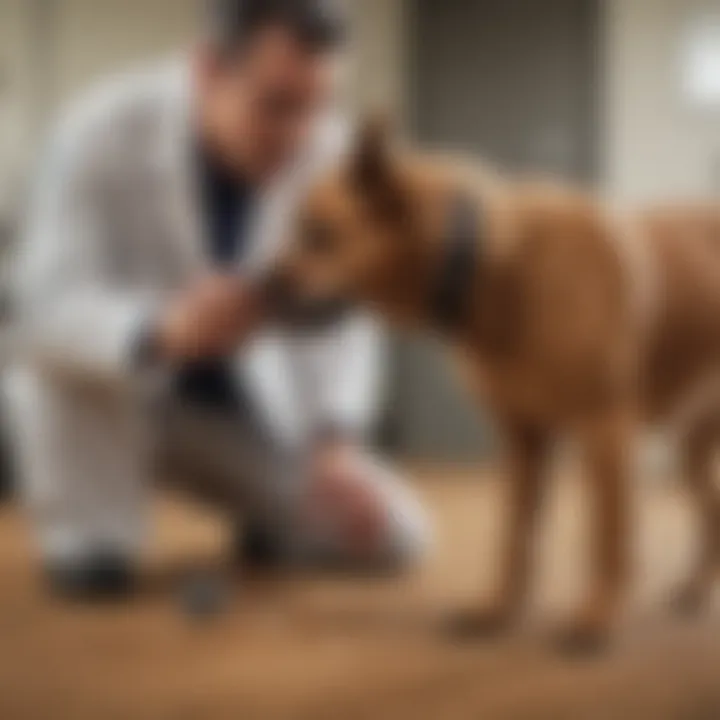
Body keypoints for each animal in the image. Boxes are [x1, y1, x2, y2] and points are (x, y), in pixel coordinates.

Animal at [268, 119, 720, 652]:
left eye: (319, 235)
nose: (262, 288)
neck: (485, 264)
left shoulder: (604, 432)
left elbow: (607, 540)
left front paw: (596, 617)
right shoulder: (523, 439)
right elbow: (514, 537)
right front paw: (497, 611)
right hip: (693, 451)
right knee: (712, 513)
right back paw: (695, 591)